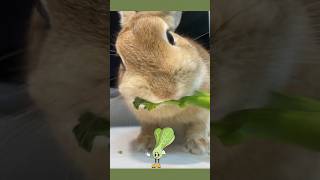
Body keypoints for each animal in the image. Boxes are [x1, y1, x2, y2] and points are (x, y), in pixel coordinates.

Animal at [115, 11, 210, 155]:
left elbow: (198, 125)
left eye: (170, 37)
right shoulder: (145, 120)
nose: (165, 91)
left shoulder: (202, 115)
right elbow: (148, 128)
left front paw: (199, 146)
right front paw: (143, 144)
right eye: (121, 62)